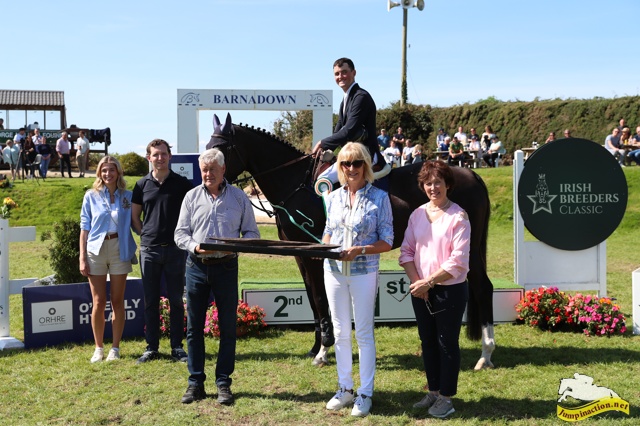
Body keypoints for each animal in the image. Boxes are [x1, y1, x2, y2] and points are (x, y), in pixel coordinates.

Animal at [209, 117, 496, 370]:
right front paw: (317, 346)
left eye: (221, 148)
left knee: (483, 287)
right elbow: (313, 300)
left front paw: (324, 350)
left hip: (467, 249)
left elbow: (319, 297)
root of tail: (471, 174)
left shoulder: (314, 254)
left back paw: (486, 354)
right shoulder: (300, 254)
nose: (209, 178)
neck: (295, 183)